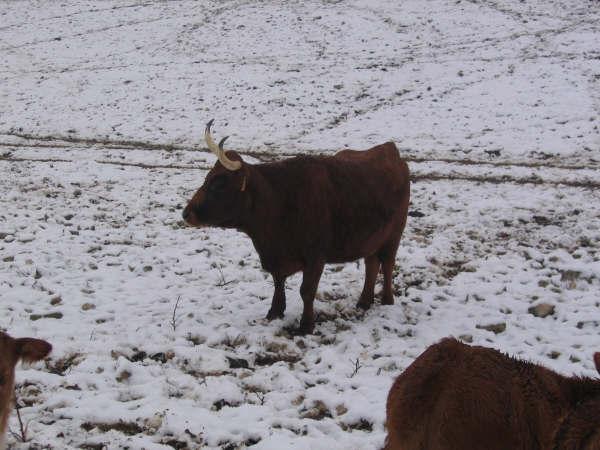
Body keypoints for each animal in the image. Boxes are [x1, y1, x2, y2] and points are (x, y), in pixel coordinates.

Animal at [180, 119, 410, 334]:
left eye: (219, 183)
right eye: (207, 178)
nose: (186, 213)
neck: (279, 200)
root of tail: (390, 150)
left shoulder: (316, 257)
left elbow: (306, 291)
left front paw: (306, 325)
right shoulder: (276, 257)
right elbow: (278, 281)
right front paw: (274, 312)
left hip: (395, 233)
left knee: (387, 264)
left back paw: (387, 300)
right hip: (372, 238)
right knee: (372, 264)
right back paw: (364, 302)